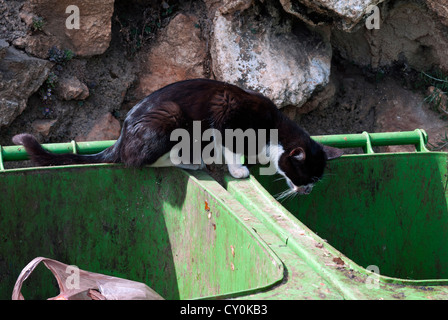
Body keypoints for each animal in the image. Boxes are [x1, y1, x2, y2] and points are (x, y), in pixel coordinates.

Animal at [13, 80, 344, 195]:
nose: (306, 191)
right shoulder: (226, 113)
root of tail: (119, 139)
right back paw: (190, 162)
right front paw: (239, 170)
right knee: (137, 162)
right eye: (306, 177)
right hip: (171, 118)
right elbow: (229, 146)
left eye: (315, 181)